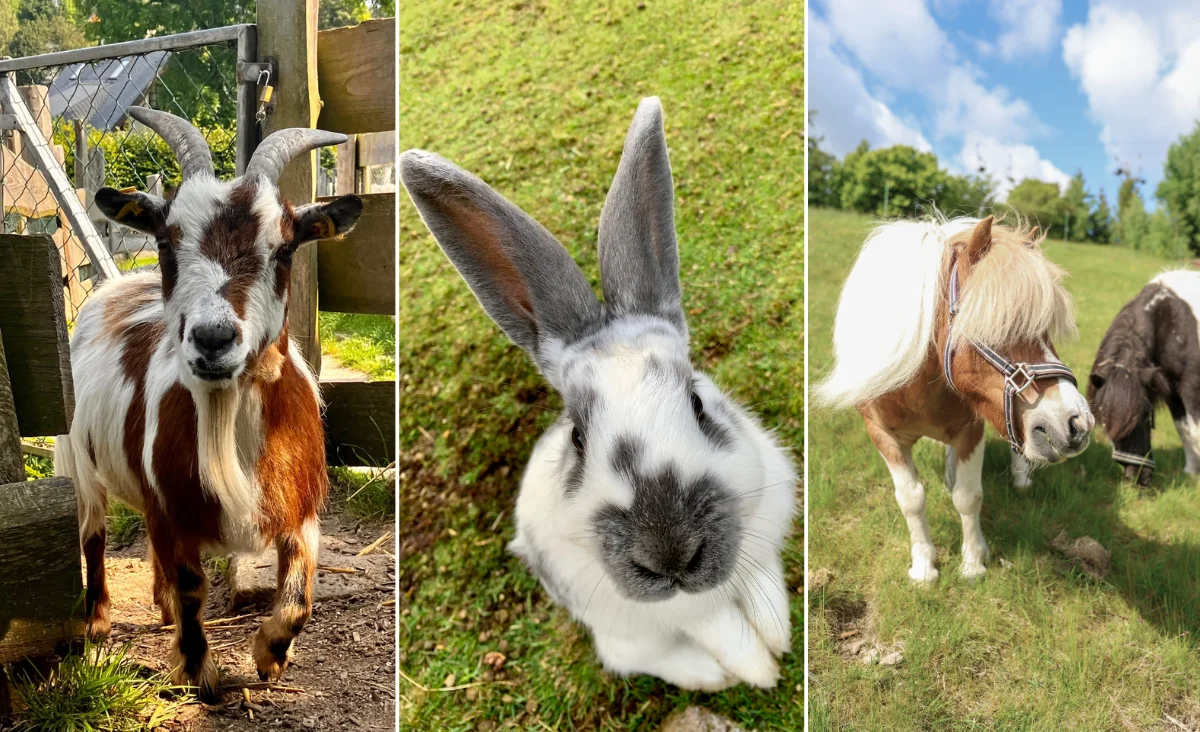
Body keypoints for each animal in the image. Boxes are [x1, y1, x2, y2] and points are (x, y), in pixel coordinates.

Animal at [62, 107, 363, 699]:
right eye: (166, 243)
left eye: (285, 248)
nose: (213, 339)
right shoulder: (169, 506)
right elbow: (191, 585)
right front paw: (199, 670)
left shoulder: (301, 507)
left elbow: (299, 595)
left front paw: (270, 657)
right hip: (83, 464)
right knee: (94, 535)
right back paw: (99, 622)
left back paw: (159, 612)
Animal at [399, 97, 796, 691]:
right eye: (579, 437)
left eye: (697, 402)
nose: (669, 554)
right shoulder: (678, 613)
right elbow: (724, 631)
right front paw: (760, 670)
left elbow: (763, 589)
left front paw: (779, 638)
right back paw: (711, 677)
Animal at [816, 215, 1094, 583]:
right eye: (995, 326)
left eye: (1046, 329)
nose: (1078, 423)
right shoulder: (881, 433)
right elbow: (911, 498)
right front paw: (923, 566)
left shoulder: (971, 428)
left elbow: (968, 496)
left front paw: (973, 562)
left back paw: (1020, 476)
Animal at [1088, 270, 1200, 487]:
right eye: (1104, 421)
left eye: (1145, 414)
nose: (1138, 478)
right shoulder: (1173, 393)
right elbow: (1185, 429)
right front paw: (1191, 472)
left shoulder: (1192, 389)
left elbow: (1195, 430)